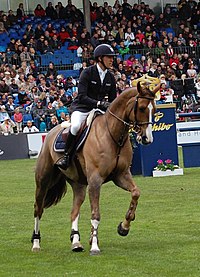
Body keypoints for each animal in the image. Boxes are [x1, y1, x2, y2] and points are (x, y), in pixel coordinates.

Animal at [31, 77, 159, 254]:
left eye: (154, 109)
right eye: (141, 108)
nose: (147, 139)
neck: (113, 135)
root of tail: (50, 133)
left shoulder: (121, 176)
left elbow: (135, 193)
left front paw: (124, 227)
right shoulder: (95, 181)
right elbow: (96, 214)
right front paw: (95, 246)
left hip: (78, 184)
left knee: (74, 211)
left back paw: (76, 242)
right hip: (43, 182)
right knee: (38, 208)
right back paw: (36, 243)